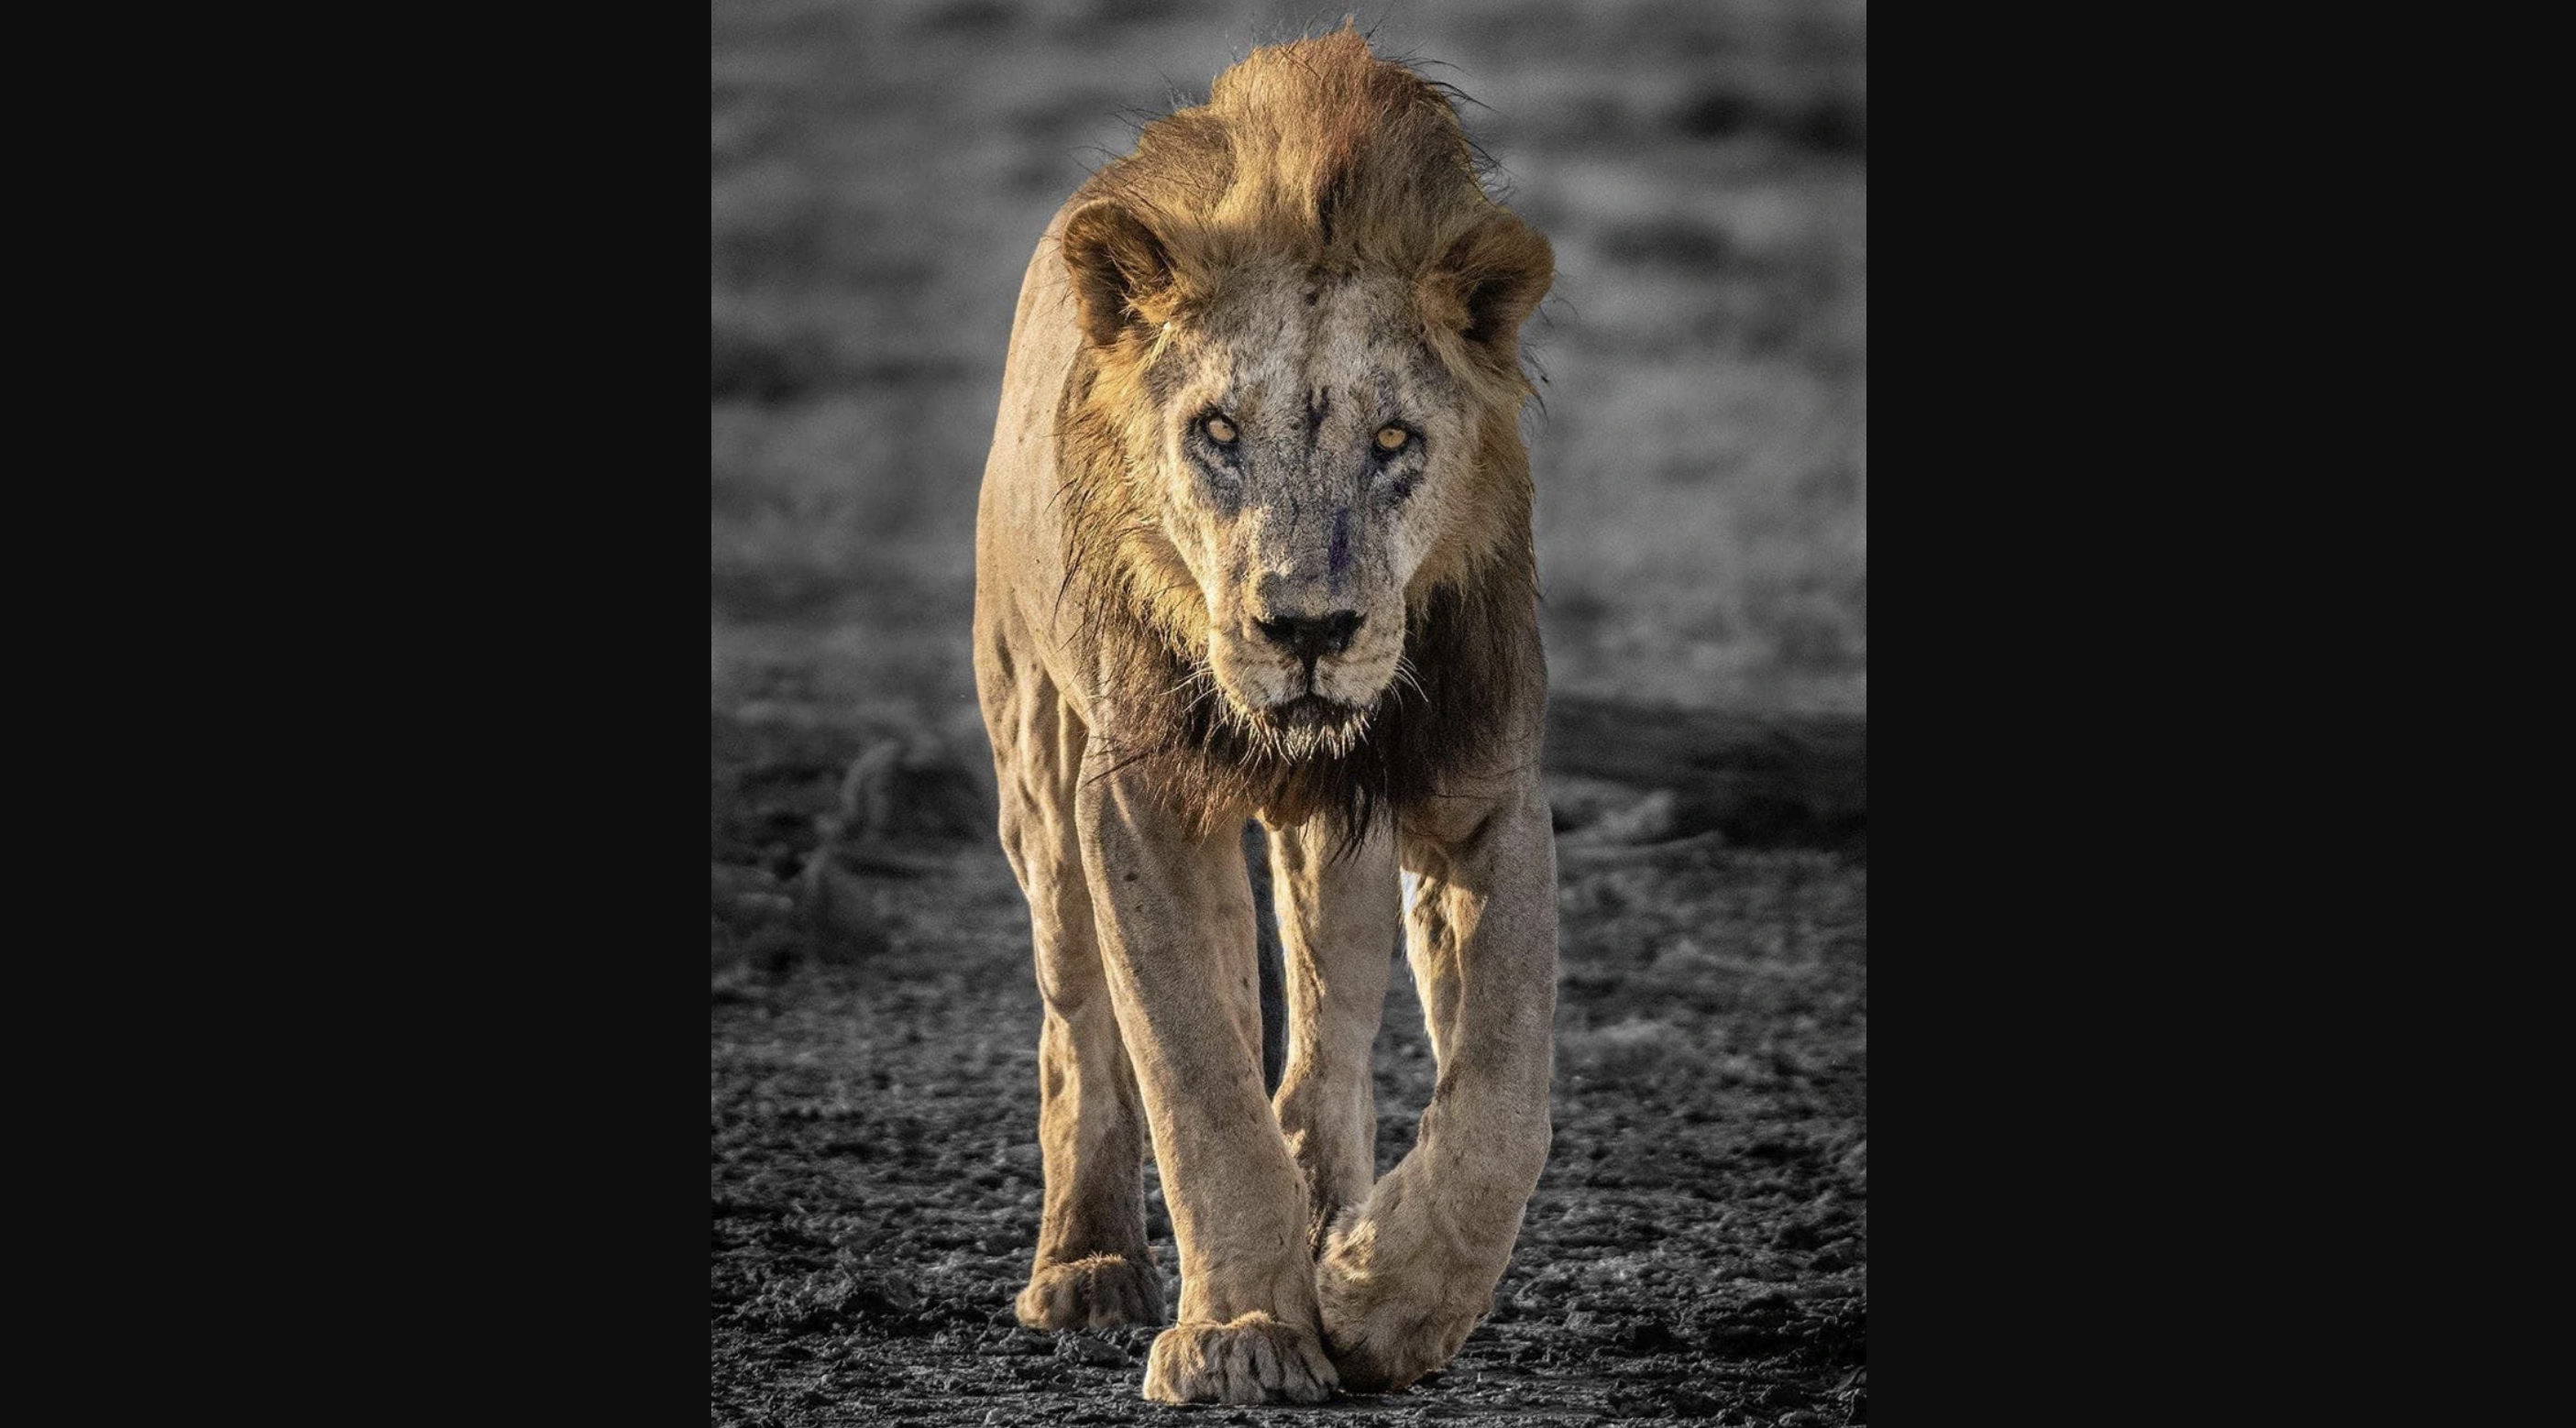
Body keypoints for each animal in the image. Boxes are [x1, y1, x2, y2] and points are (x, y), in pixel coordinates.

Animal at [971, 29, 1559, 1405]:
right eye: (1216, 430)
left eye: (1393, 437)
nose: (1305, 629)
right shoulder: (1135, 798)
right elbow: (1195, 1074)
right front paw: (1241, 1332)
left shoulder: (1482, 786)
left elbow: (1505, 1092)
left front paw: (1381, 1298)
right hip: (1034, 751)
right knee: (1082, 1023)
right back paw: (1086, 1265)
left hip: (1332, 836)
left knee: (1326, 1017)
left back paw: (1331, 1209)